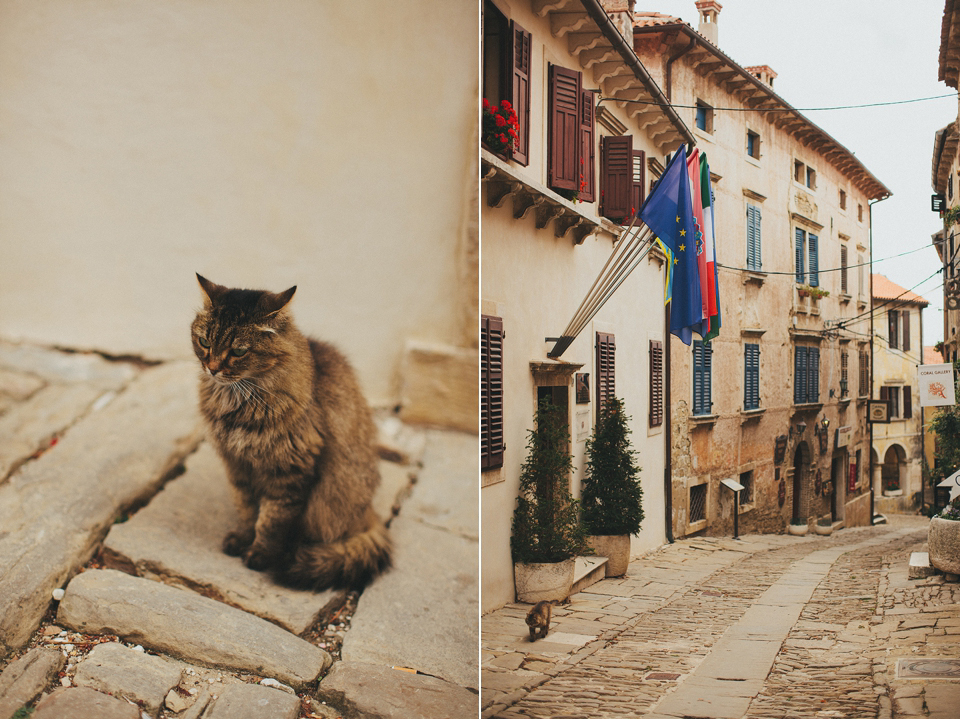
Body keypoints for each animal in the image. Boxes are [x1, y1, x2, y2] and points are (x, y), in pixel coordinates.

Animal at [190, 274, 390, 592]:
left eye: (238, 351)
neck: (237, 401)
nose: (211, 369)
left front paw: (259, 555)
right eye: (204, 341)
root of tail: (367, 514)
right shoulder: (238, 466)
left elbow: (270, 522)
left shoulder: (288, 473)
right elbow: (246, 511)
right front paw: (242, 539)